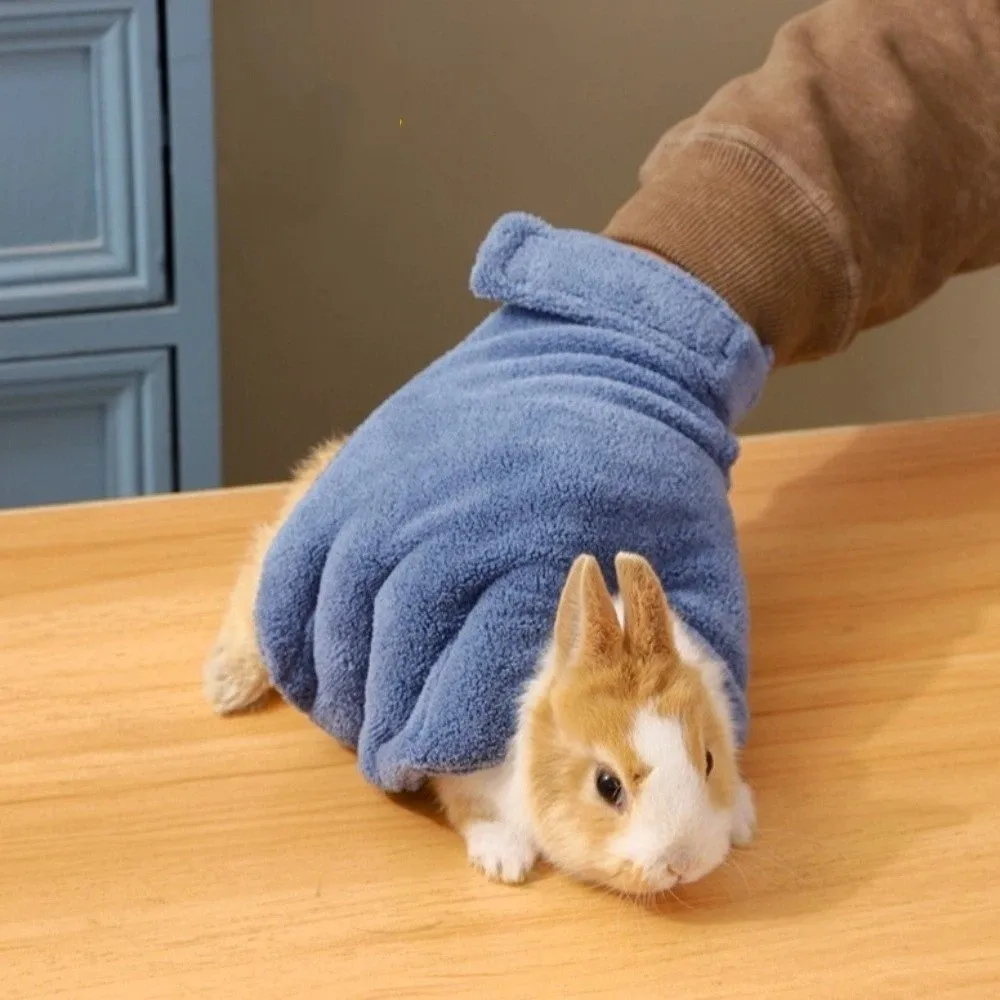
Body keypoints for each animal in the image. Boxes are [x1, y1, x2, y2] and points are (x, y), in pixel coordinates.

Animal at [204, 437, 755, 895]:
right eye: (607, 785)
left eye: (709, 759)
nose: (684, 863)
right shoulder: (454, 756)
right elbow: (468, 809)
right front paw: (505, 860)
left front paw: (743, 819)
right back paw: (226, 685)